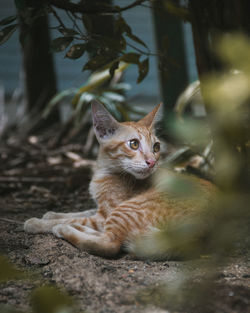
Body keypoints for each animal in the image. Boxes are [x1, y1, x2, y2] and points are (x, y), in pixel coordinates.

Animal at [23, 101, 215, 258]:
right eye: (134, 144)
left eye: (156, 147)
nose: (152, 162)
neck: (104, 172)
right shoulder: (101, 209)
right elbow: (80, 212)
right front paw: (52, 214)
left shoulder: (105, 214)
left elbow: (75, 218)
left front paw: (39, 222)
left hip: (128, 208)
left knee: (110, 244)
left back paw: (64, 229)